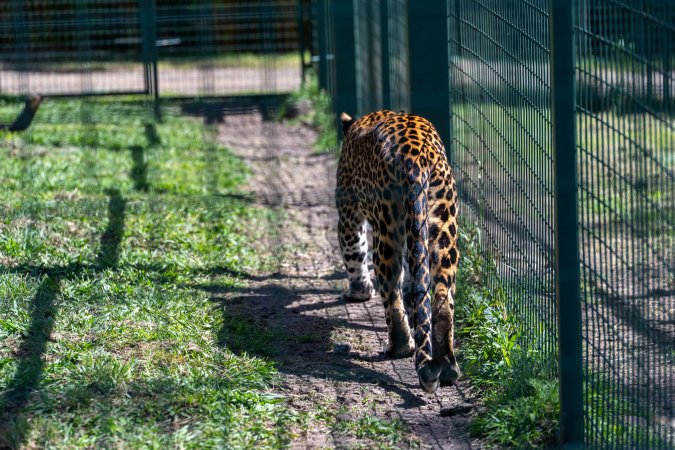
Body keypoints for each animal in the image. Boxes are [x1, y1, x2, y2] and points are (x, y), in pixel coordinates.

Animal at [335, 110, 460, 393]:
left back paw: (399, 347)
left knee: (391, 290)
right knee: (441, 296)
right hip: (442, 221)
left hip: (387, 228)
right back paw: (448, 367)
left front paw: (358, 292)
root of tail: (415, 158)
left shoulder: (347, 213)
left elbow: (353, 252)